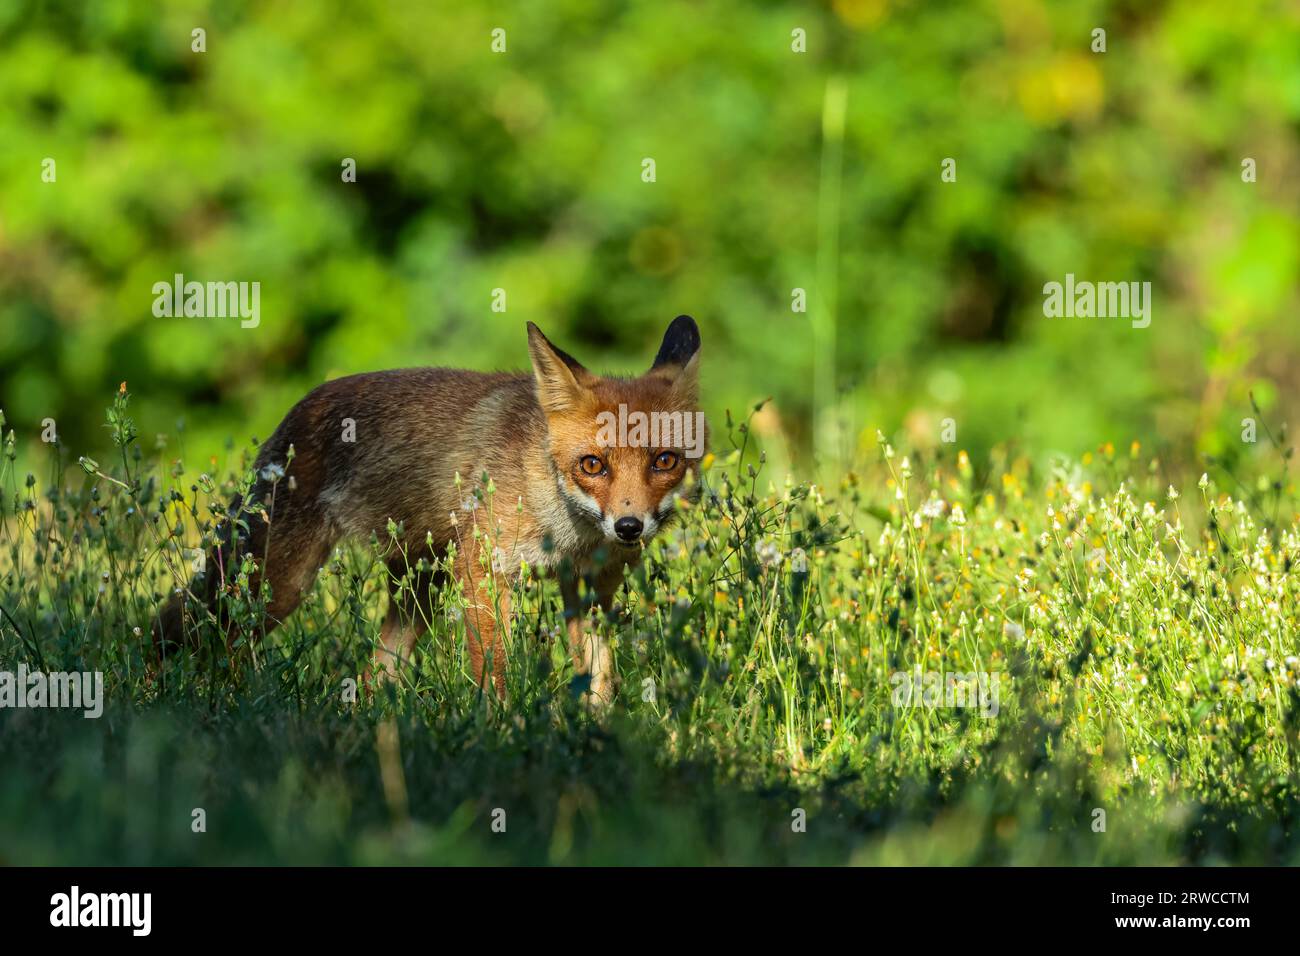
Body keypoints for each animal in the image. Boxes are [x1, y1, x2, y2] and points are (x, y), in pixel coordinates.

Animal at [153, 314, 706, 706]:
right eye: (593, 464)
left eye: (664, 461)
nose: (629, 527)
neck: (566, 530)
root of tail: (297, 408)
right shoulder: (484, 571)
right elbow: (493, 670)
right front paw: (500, 731)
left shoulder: (592, 588)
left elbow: (599, 679)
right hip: (277, 585)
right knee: (191, 629)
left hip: (419, 592)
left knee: (372, 675)